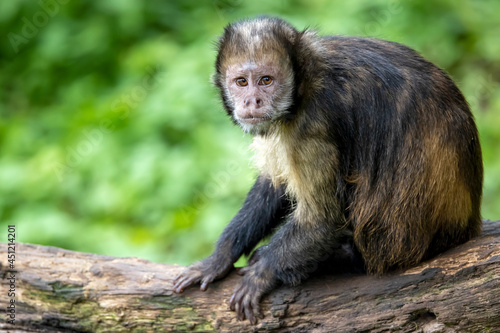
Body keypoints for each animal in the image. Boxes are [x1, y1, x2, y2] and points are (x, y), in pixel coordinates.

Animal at [173, 16, 484, 322]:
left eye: (266, 80)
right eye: (241, 82)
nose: (252, 101)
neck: (308, 80)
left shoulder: (312, 125)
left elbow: (322, 220)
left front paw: (263, 273)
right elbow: (275, 185)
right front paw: (220, 257)